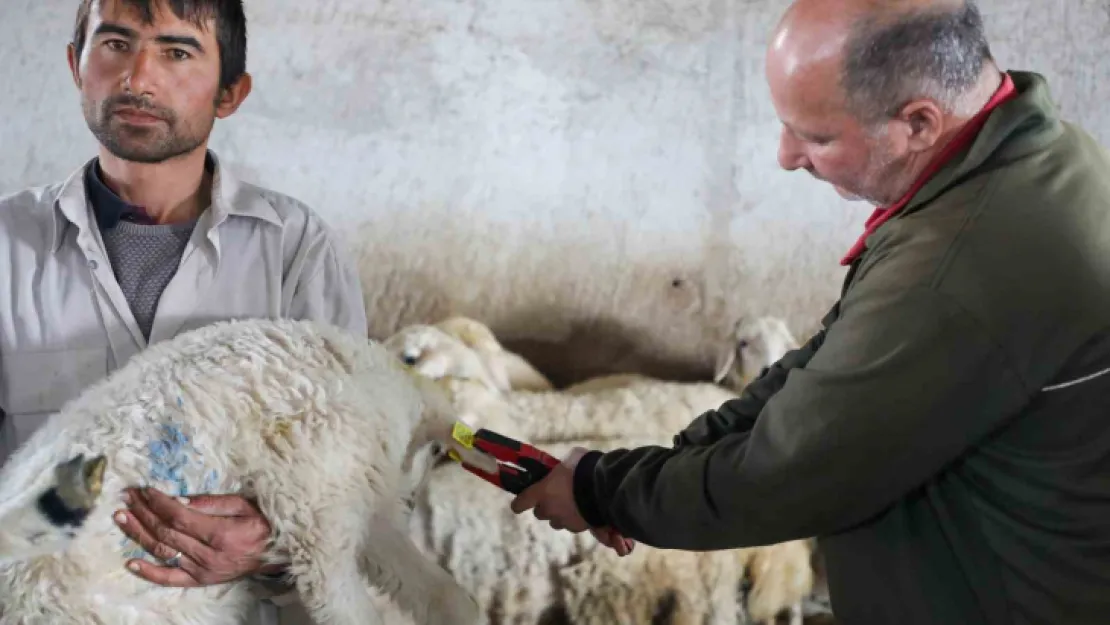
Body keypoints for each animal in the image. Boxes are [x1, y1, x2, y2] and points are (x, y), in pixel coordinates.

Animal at [0, 317, 495, 625]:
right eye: (436, 455)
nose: (410, 502)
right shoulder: (317, 510)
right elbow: (342, 604)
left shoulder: (365, 508)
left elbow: (440, 592)